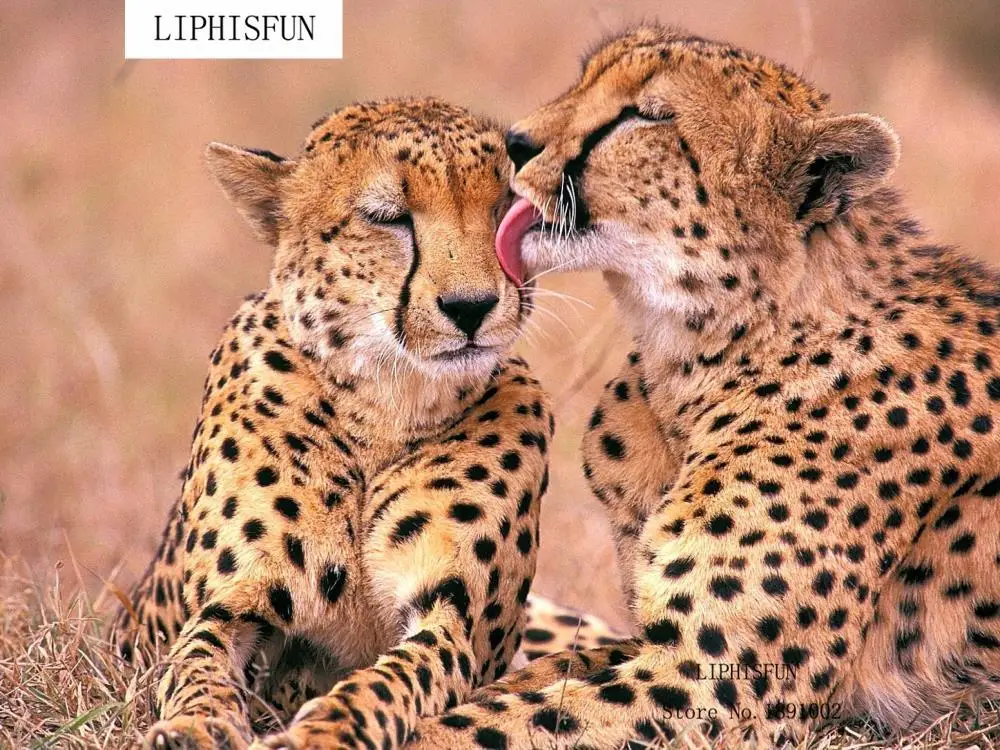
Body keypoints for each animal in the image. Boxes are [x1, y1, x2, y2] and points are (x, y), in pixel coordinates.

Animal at [108, 97, 557, 750]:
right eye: (386, 217)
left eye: (506, 208)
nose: (471, 307)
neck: (386, 405)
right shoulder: (232, 602)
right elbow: (197, 665)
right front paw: (194, 727)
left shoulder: (452, 619)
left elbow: (388, 681)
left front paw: (323, 731)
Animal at [406, 24, 1000, 749]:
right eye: (586, 78)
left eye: (644, 116)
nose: (514, 142)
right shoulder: (655, 644)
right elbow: (524, 681)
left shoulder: (720, 683)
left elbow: (484, 725)